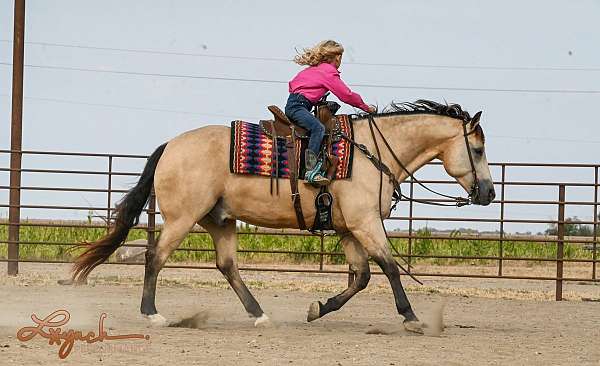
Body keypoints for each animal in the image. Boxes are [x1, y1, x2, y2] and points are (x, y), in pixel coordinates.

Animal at [70, 98, 494, 334]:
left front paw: (319, 309)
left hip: (219, 220)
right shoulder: (365, 223)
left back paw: (260, 315)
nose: (488, 193)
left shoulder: (348, 229)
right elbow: (389, 267)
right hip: (181, 218)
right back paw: (153, 315)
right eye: (476, 150)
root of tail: (171, 145)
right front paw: (410, 317)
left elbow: (361, 277)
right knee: (155, 257)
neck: (371, 152)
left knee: (227, 266)